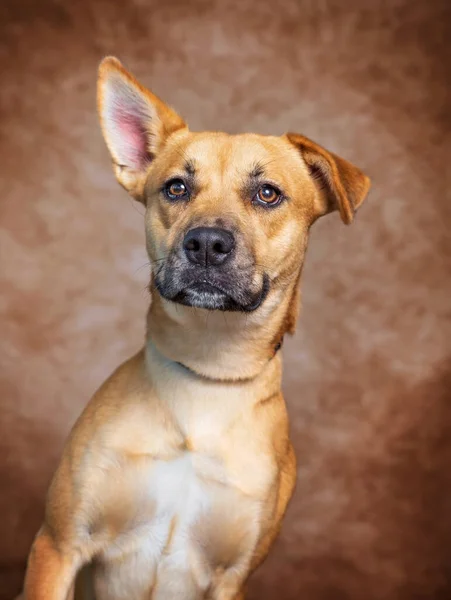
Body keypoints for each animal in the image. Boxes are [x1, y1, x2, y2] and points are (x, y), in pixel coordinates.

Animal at [20, 56, 370, 600]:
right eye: (176, 188)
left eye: (267, 193)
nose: (206, 243)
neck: (208, 371)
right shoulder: (58, 545)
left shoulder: (232, 577)